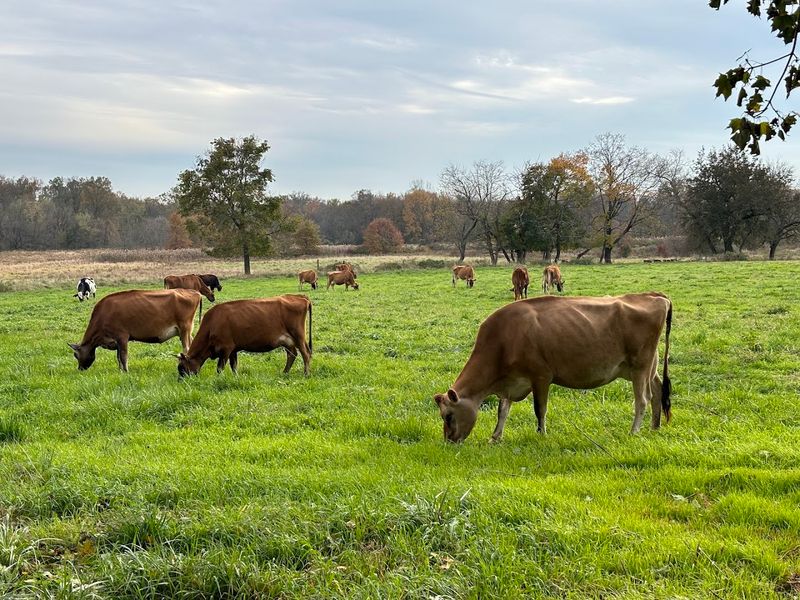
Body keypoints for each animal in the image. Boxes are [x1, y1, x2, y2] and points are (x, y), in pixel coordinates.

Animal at [68, 289, 201, 372]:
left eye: (75, 355)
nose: (80, 369)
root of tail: (195, 292)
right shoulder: (117, 341)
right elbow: (118, 357)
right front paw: (120, 370)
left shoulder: (122, 336)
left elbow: (123, 356)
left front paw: (126, 371)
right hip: (186, 331)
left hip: (184, 329)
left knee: (186, 348)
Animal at [177, 294, 312, 377]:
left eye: (182, 368)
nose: (181, 381)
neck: (212, 324)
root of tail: (299, 297)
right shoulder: (233, 349)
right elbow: (234, 366)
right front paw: (235, 377)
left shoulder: (226, 348)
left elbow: (220, 368)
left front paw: (219, 378)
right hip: (287, 341)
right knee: (292, 354)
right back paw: (284, 372)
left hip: (298, 336)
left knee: (305, 354)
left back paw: (306, 374)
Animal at [434, 292, 672, 443]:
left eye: (449, 416)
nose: (449, 441)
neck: (503, 339)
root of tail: (653, 296)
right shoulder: (511, 381)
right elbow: (503, 411)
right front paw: (495, 437)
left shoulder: (541, 376)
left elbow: (540, 409)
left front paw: (541, 435)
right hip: (647, 366)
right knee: (657, 390)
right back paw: (655, 426)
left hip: (640, 365)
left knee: (642, 399)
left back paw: (634, 431)